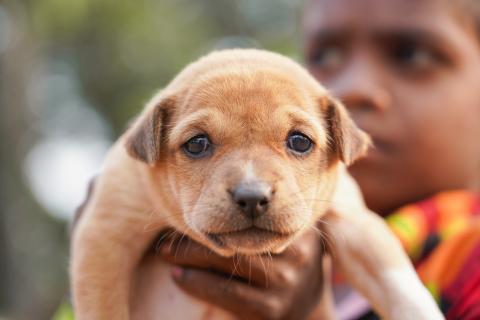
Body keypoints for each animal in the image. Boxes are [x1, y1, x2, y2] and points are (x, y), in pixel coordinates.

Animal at [70, 48, 442, 320]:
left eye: (300, 141)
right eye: (197, 144)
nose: (252, 197)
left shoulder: (355, 221)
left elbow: (399, 284)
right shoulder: (106, 235)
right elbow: (104, 307)